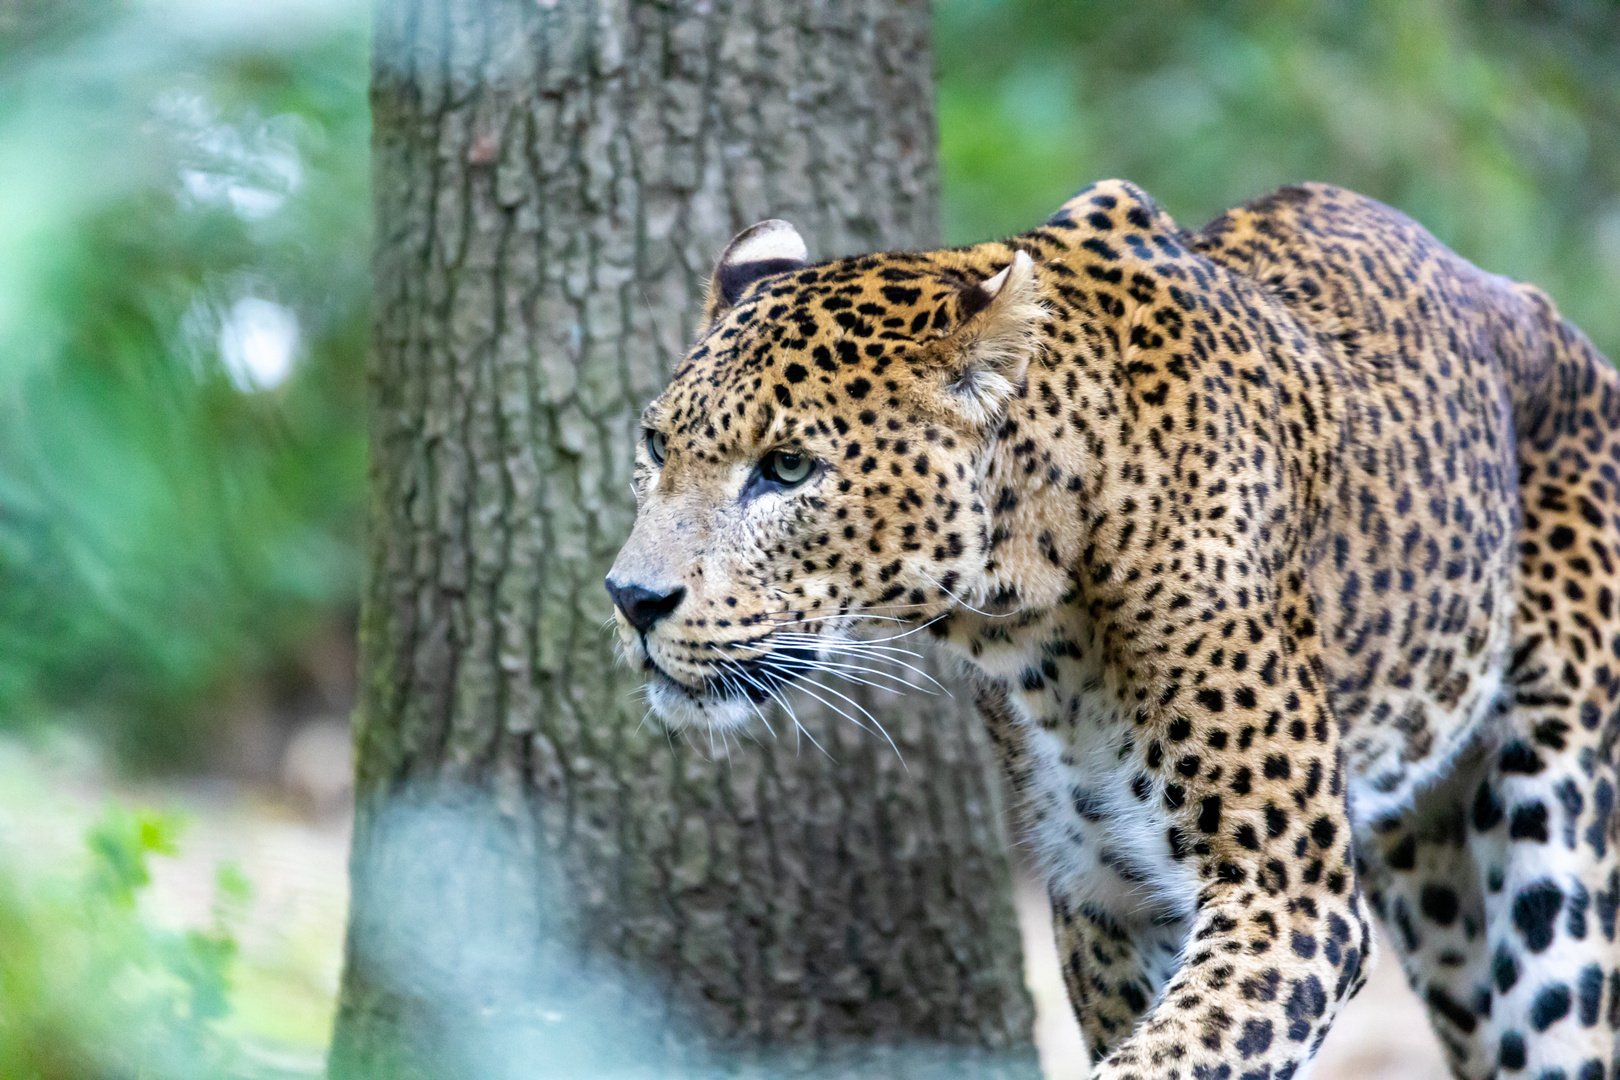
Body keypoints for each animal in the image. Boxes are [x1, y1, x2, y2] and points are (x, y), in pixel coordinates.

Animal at [609, 181, 1620, 1075]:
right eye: (656, 446)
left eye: (787, 468)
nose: (630, 597)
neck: (1037, 613)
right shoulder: (1106, 898)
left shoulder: (1288, 897)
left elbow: (1179, 1055)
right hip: (1441, 895)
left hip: (1563, 868)